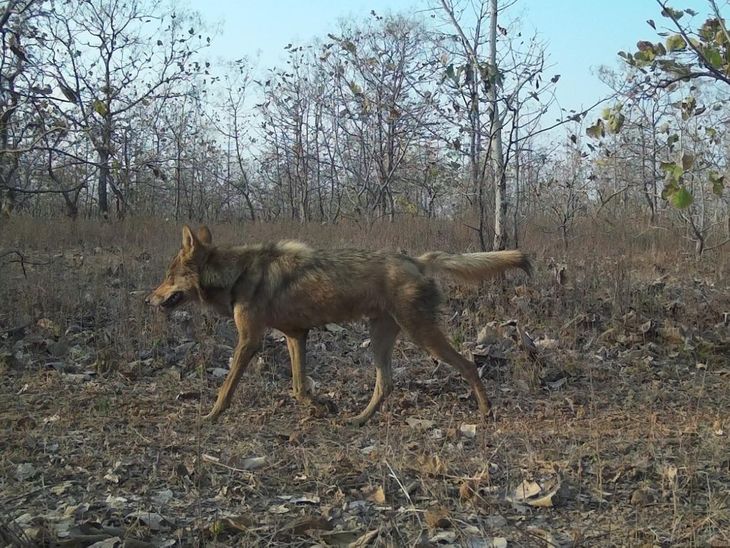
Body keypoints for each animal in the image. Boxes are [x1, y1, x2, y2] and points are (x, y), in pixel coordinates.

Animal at [146, 225, 531, 425]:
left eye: (167, 277)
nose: (148, 299)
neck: (237, 274)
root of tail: (418, 260)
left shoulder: (250, 341)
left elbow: (226, 388)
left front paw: (209, 416)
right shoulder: (295, 335)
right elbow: (298, 388)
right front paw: (321, 406)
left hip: (422, 336)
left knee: (468, 364)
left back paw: (486, 411)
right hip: (380, 338)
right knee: (386, 384)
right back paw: (358, 419)